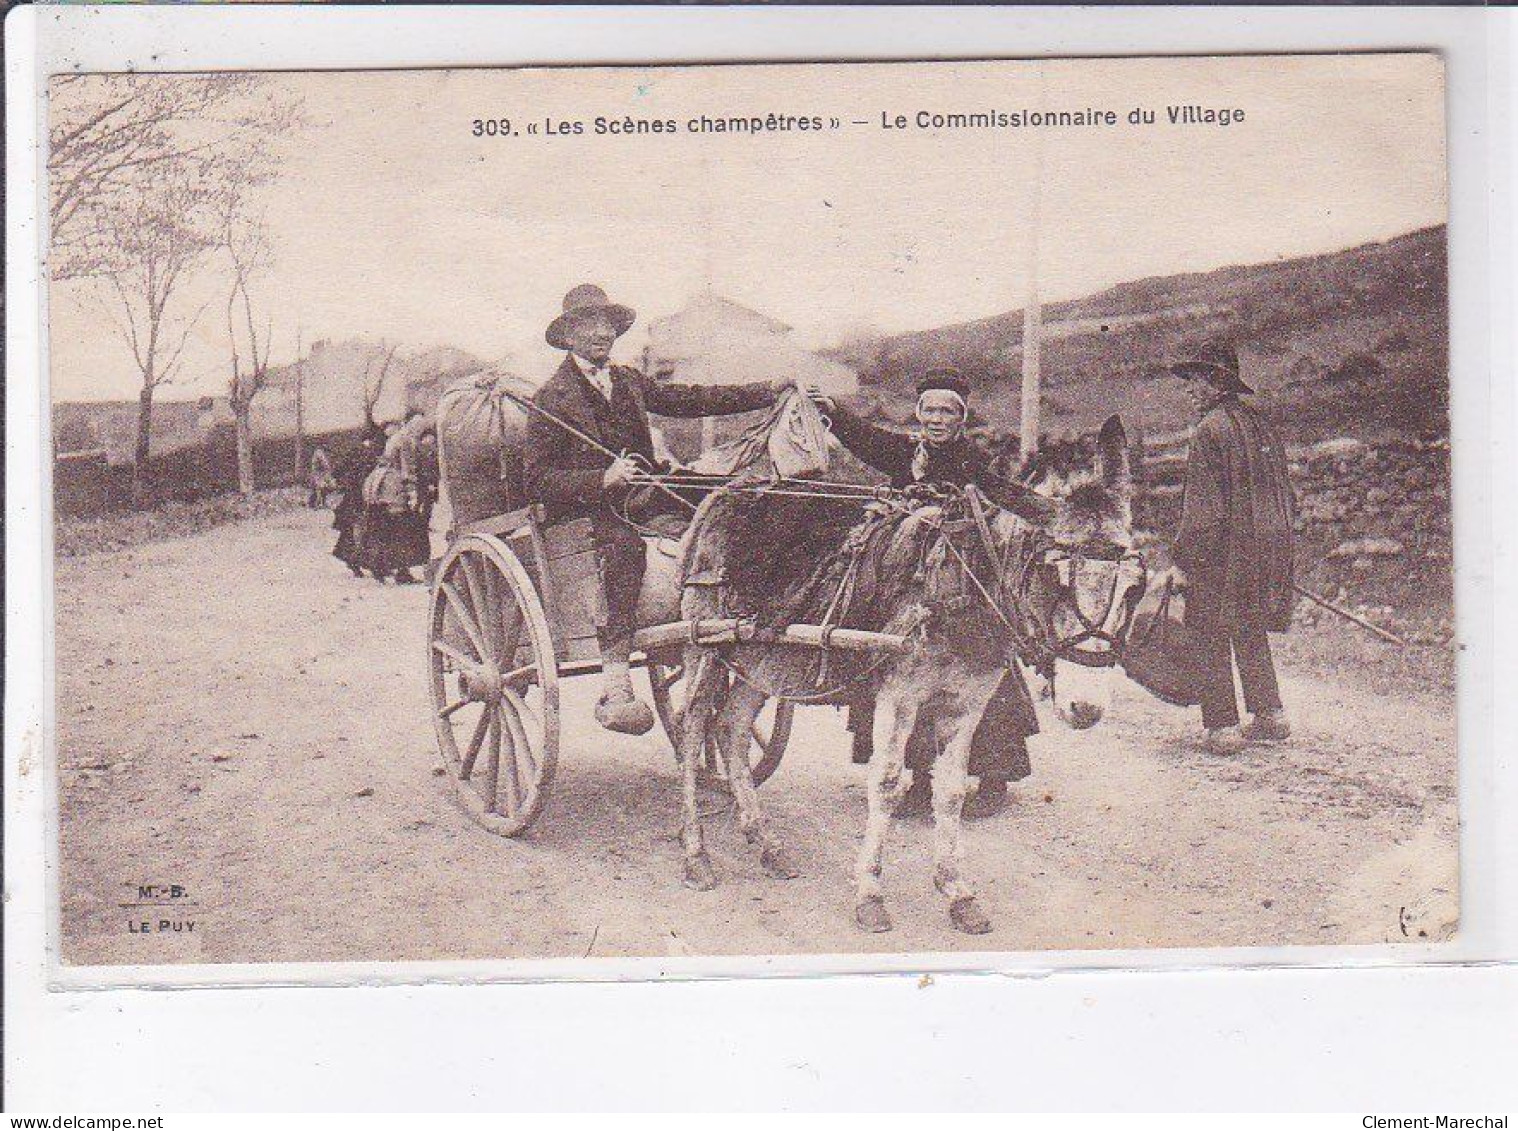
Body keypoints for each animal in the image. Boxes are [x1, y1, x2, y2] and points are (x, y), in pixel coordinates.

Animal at [673, 415, 1141, 935]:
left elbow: (951, 791)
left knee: (731, 726)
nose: (1086, 707)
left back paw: (766, 844)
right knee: (691, 728)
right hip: (703, 643)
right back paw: (695, 854)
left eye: (1135, 588)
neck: (960, 582)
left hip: (766, 658)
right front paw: (870, 894)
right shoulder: (899, 696)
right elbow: (886, 783)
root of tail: (725, 490)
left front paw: (958, 892)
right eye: (1052, 576)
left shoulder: (967, 702)